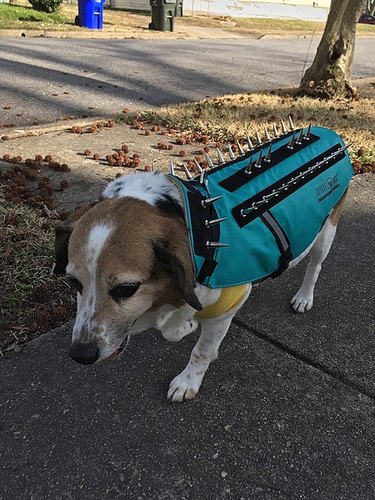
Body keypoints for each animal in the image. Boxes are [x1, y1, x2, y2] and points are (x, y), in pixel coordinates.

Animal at [55, 172, 350, 402]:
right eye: (73, 282)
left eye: (126, 289)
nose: (80, 355)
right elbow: (173, 330)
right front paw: (187, 325)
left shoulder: (228, 305)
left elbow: (202, 350)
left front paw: (188, 381)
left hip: (326, 233)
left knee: (314, 267)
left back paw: (304, 297)